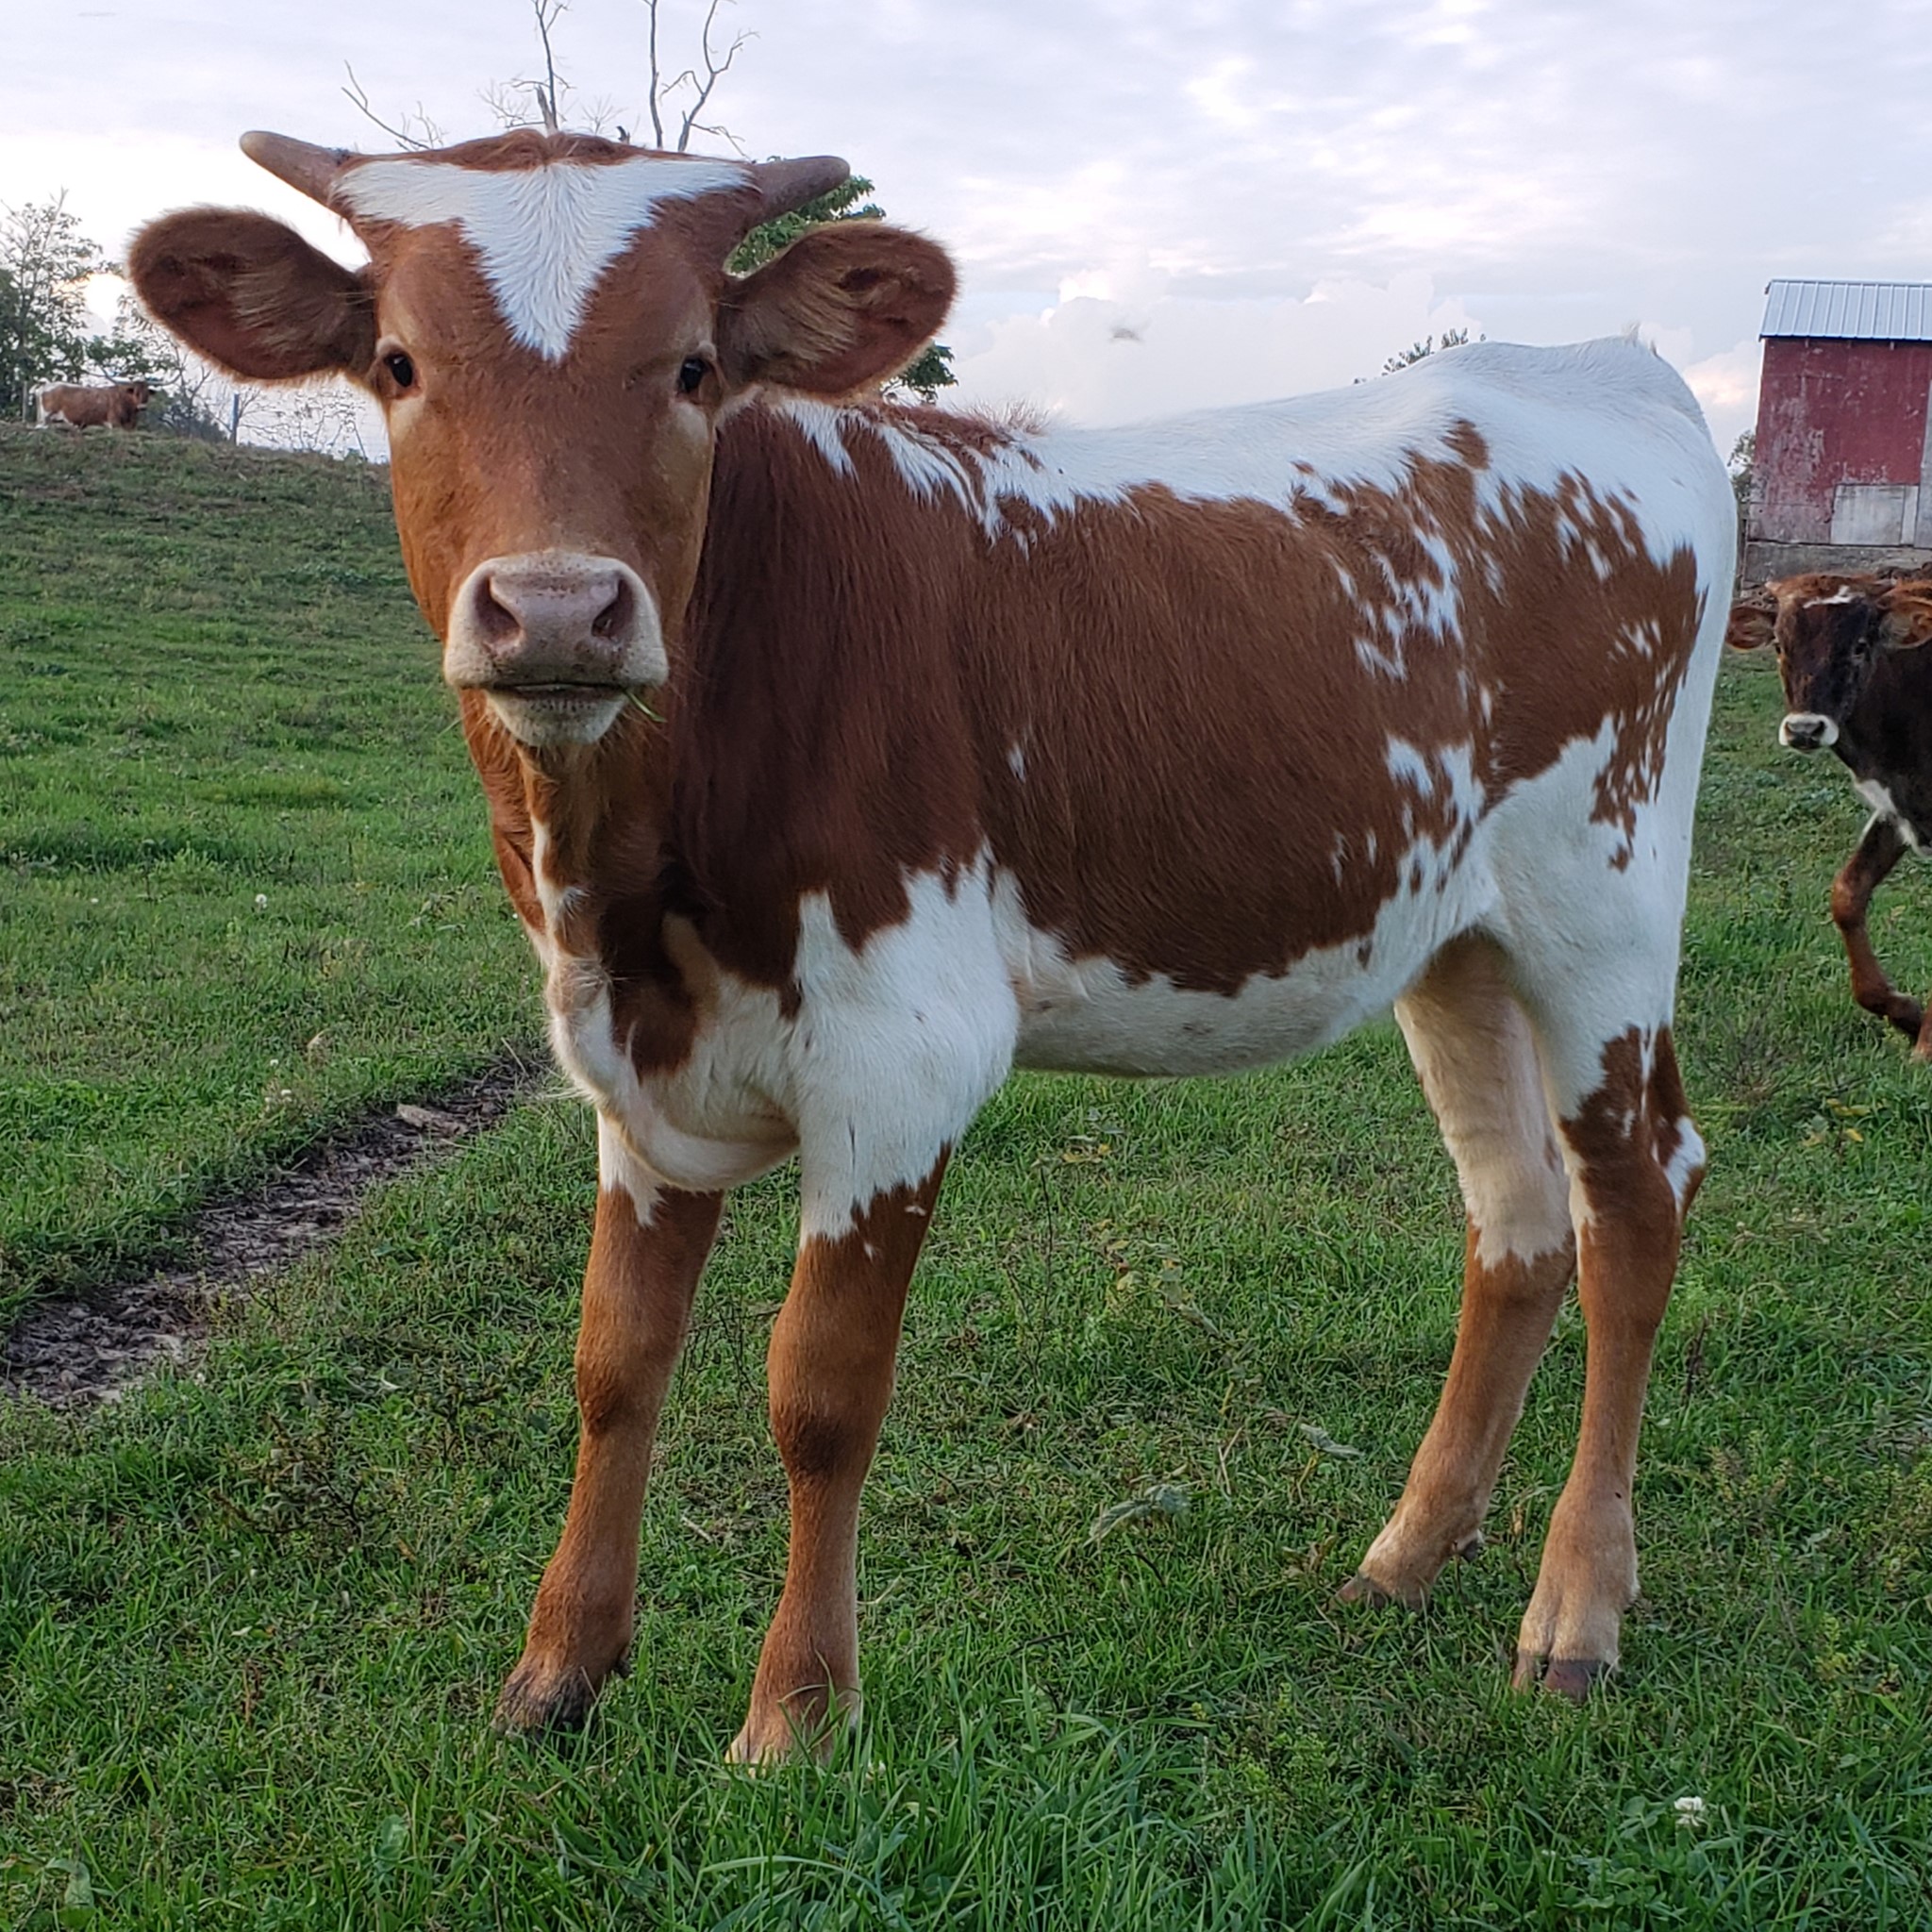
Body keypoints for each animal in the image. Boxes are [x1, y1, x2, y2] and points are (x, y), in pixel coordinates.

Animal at [128, 128, 1736, 1764]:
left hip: (1605, 911)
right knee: (1518, 1216)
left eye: (695, 366)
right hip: (1454, 939)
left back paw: (1576, 1611)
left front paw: (795, 1717)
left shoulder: (897, 1058)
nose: (559, 610)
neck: (622, 896)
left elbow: (821, 1393)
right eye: (398, 362)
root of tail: (1596, 359)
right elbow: (613, 1363)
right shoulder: (631, 1071)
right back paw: (1407, 1555)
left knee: (1635, 1203)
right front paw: (560, 1668)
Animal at [1727, 573, 1932, 1058]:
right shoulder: (1895, 807)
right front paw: (1907, 1015)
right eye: (1779, 644)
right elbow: (1847, 894)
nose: (1805, 729)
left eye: (1859, 645)